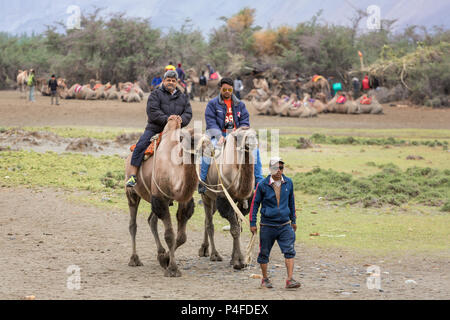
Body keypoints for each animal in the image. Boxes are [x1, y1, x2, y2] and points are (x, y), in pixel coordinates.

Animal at [125, 117, 205, 278]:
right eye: (192, 139)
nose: (205, 148)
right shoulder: (159, 198)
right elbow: (169, 235)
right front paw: (172, 269)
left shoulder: (182, 200)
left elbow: (181, 237)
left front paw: (165, 259)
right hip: (132, 193)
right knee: (133, 224)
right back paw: (134, 259)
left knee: (152, 220)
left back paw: (160, 253)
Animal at [200, 127, 258, 270]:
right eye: (240, 136)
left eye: (255, 134)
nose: (252, 142)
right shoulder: (224, 200)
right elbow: (235, 229)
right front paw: (239, 262)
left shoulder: (241, 201)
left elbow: (238, 228)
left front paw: (235, 259)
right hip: (206, 196)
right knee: (209, 224)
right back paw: (214, 255)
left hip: (214, 201)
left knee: (206, 220)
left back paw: (204, 250)